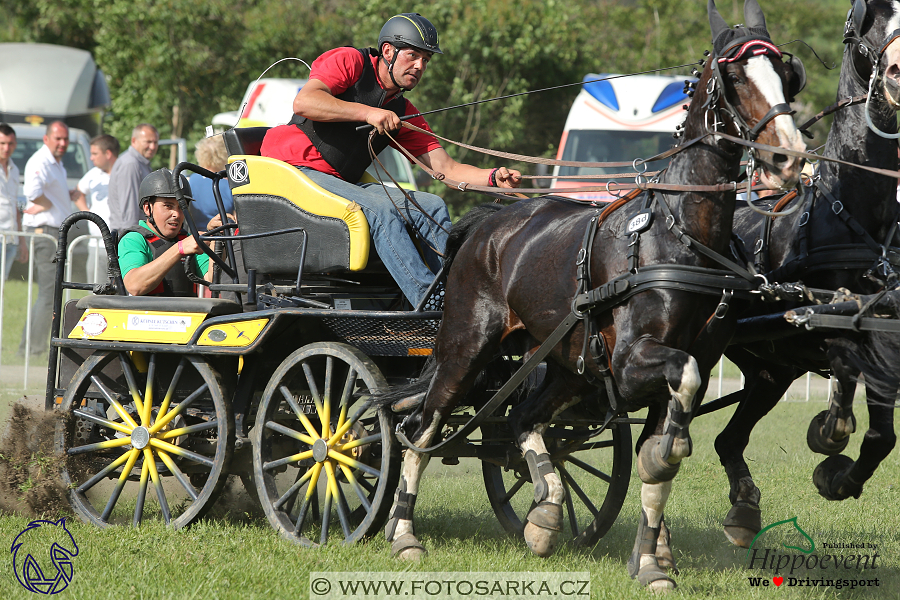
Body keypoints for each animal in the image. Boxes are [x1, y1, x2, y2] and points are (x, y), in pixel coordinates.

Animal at [384, 0, 804, 592]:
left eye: (785, 75)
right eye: (736, 76)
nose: (789, 158)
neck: (680, 232)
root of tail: (486, 225)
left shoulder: (683, 366)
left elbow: (657, 459)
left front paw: (650, 562)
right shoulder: (633, 364)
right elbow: (670, 437)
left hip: (567, 366)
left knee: (523, 420)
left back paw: (544, 513)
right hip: (465, 351)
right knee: (422, 430)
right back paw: (405, 535)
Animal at [712, 0, 896, 548]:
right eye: (869, 17)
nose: (897, 70)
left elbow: (881, 436)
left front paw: (836, 477)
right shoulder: (824, 322)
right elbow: (844, 399)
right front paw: (827, 431)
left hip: (770, 371)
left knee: (727, 440)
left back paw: (745, 508)